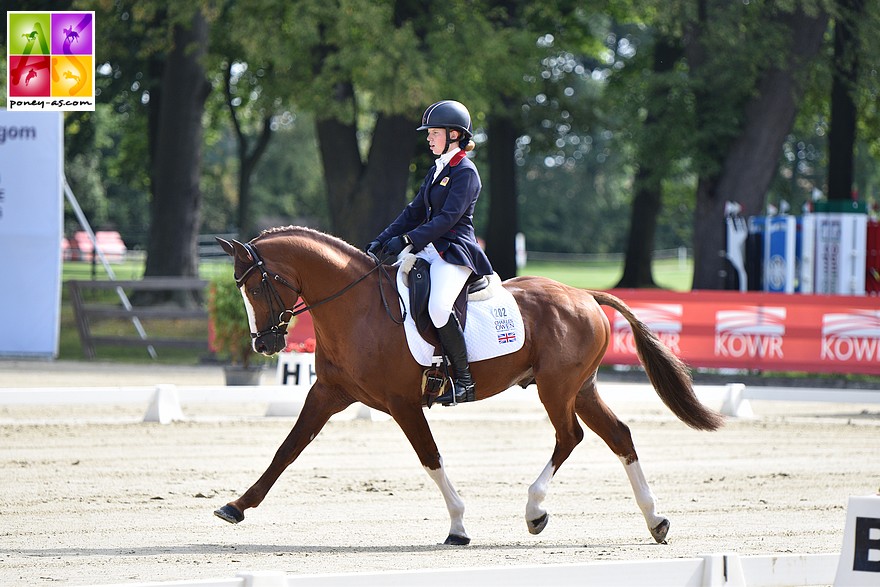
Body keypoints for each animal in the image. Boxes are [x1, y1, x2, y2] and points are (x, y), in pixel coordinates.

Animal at [215, 226, 720, 548]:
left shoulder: (403, 403)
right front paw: (236, 506)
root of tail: (584, 295)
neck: (355, 307)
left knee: (569, 436)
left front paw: (458, 526)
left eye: (256, 288)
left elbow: (431, 458)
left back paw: (535, 511)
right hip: (581, 388)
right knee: (619, 436)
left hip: (556, 388)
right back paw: (656, 521)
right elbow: (287, 449)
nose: (264, 344)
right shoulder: (327, 394)